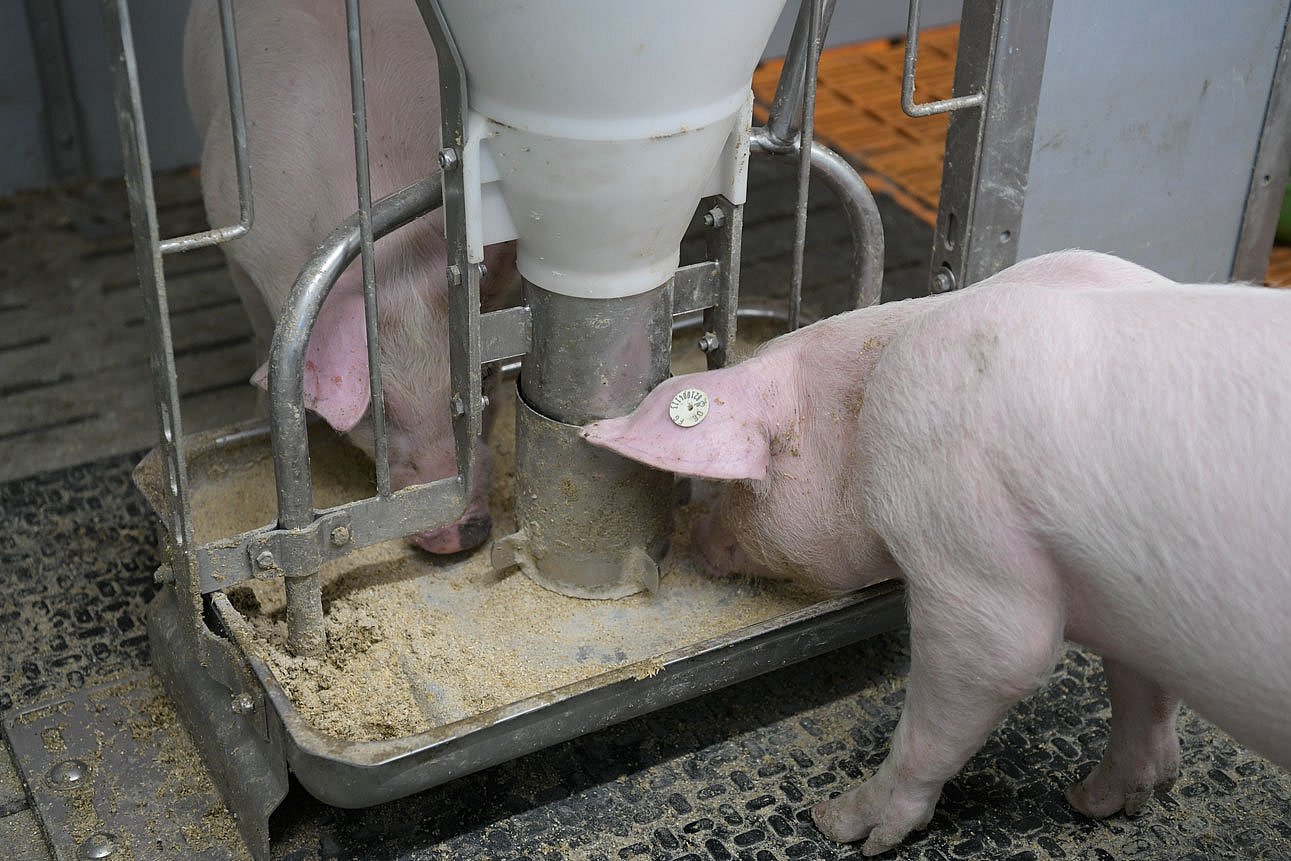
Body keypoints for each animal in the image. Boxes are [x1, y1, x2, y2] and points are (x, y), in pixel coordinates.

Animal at [586, 250, 1291, 857]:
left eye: (741, 486)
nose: (696, 542)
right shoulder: (1141, 612)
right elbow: (1144, 697)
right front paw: (1092, 804)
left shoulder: (968, 559)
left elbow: (984, 676)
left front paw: (839, 825)